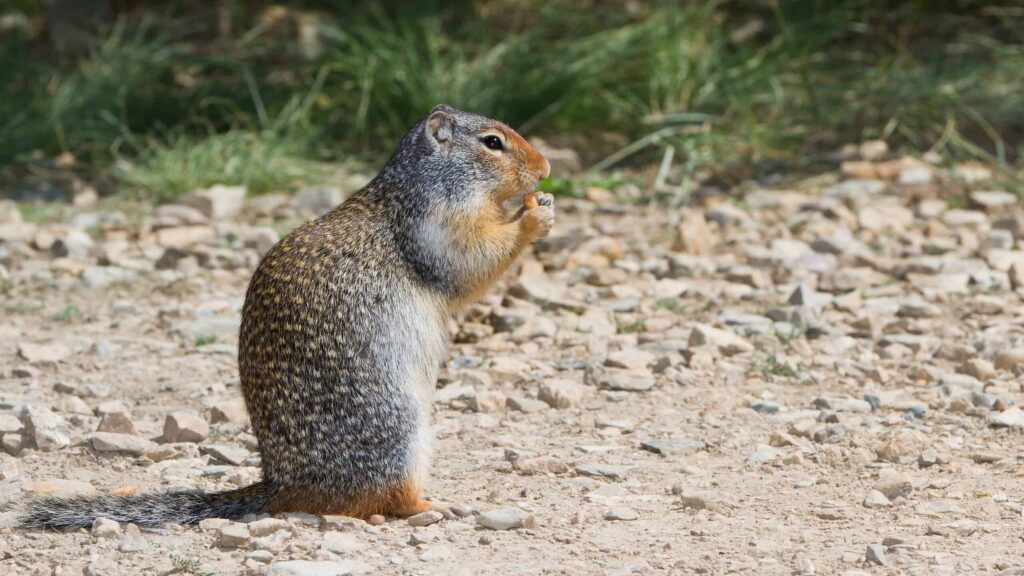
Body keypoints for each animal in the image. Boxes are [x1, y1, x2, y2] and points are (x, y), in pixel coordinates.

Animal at [19, 103, 557, 524]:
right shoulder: (440, 224)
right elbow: (471, 262)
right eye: (492, 142)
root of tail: (279, 483)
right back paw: (431, 505)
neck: (419, 183)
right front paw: (534, 212)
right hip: (398, 428)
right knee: (383, 499)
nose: (547, 168)